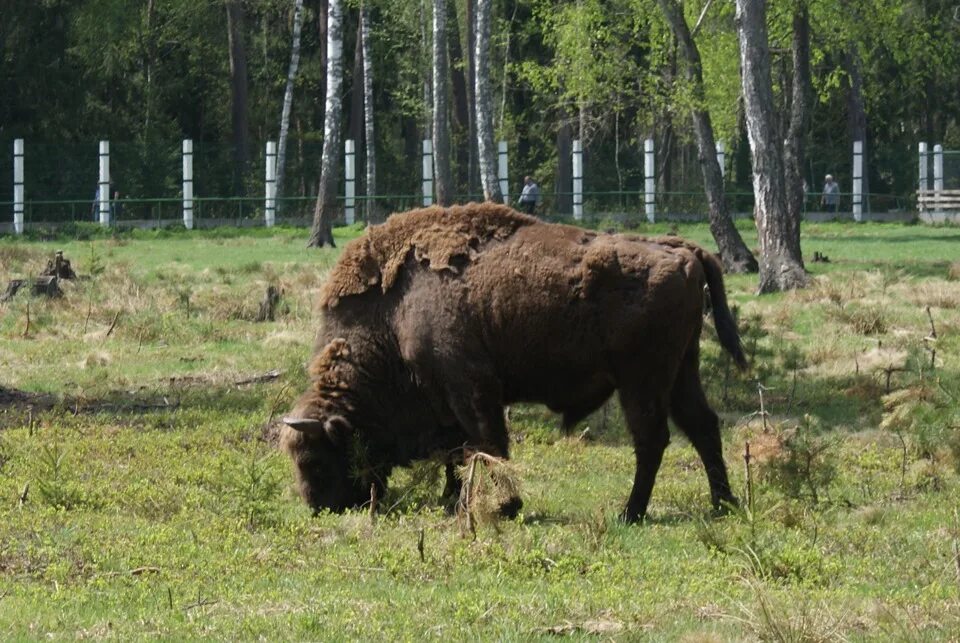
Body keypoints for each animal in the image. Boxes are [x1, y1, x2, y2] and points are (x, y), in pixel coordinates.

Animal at [282, 204, 748, 524]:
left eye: (317, 460)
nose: (321, 507)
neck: (393, 312)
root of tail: (681, 249)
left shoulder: (471, 388)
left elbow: (488, 446)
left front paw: (505, 506)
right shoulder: (446, 401)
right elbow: (460, 453)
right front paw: (454, 500)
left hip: (642, 379)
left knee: (652, 439)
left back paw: (630, 513)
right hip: (682, 370)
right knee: (703, 426)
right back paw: (723, 503)